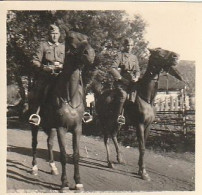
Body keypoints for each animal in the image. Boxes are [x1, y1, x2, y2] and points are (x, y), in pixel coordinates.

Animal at [29, 31, 95, 191]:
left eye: (87, 38)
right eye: (70, 39)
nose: (90, 54)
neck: (69, 96)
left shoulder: (77, 128)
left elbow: (75, 155)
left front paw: (78, 182)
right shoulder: (61, 128)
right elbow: (64, 155)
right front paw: (64, 183)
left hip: (51, 127)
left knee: (49, 143)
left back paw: (53, 167)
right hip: (36, 125)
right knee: (34, 143)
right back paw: (34, 168)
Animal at [88, 47, 183, 181]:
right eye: (159, 52)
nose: (176, 56)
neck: (146, 98)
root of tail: (100, 93)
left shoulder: (148, 126)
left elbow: (143, 147)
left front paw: (139, 169)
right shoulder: (139, 125)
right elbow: (141, 147)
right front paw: (143, 172)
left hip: (118, 123)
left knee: (113, 135)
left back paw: (120, 158)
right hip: (104, 122)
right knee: (106, 139)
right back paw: (109, 162)